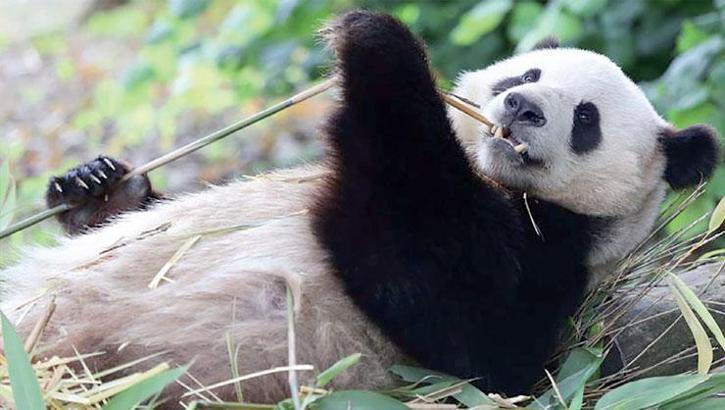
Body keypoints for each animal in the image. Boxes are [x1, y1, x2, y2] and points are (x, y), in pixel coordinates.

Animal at [1, 11, 720, 405]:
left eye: (586, 119)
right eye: (527, 75)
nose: (521, 108)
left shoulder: (552, 262)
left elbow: (466, 327)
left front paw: (379, 42)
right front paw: (98, 186)